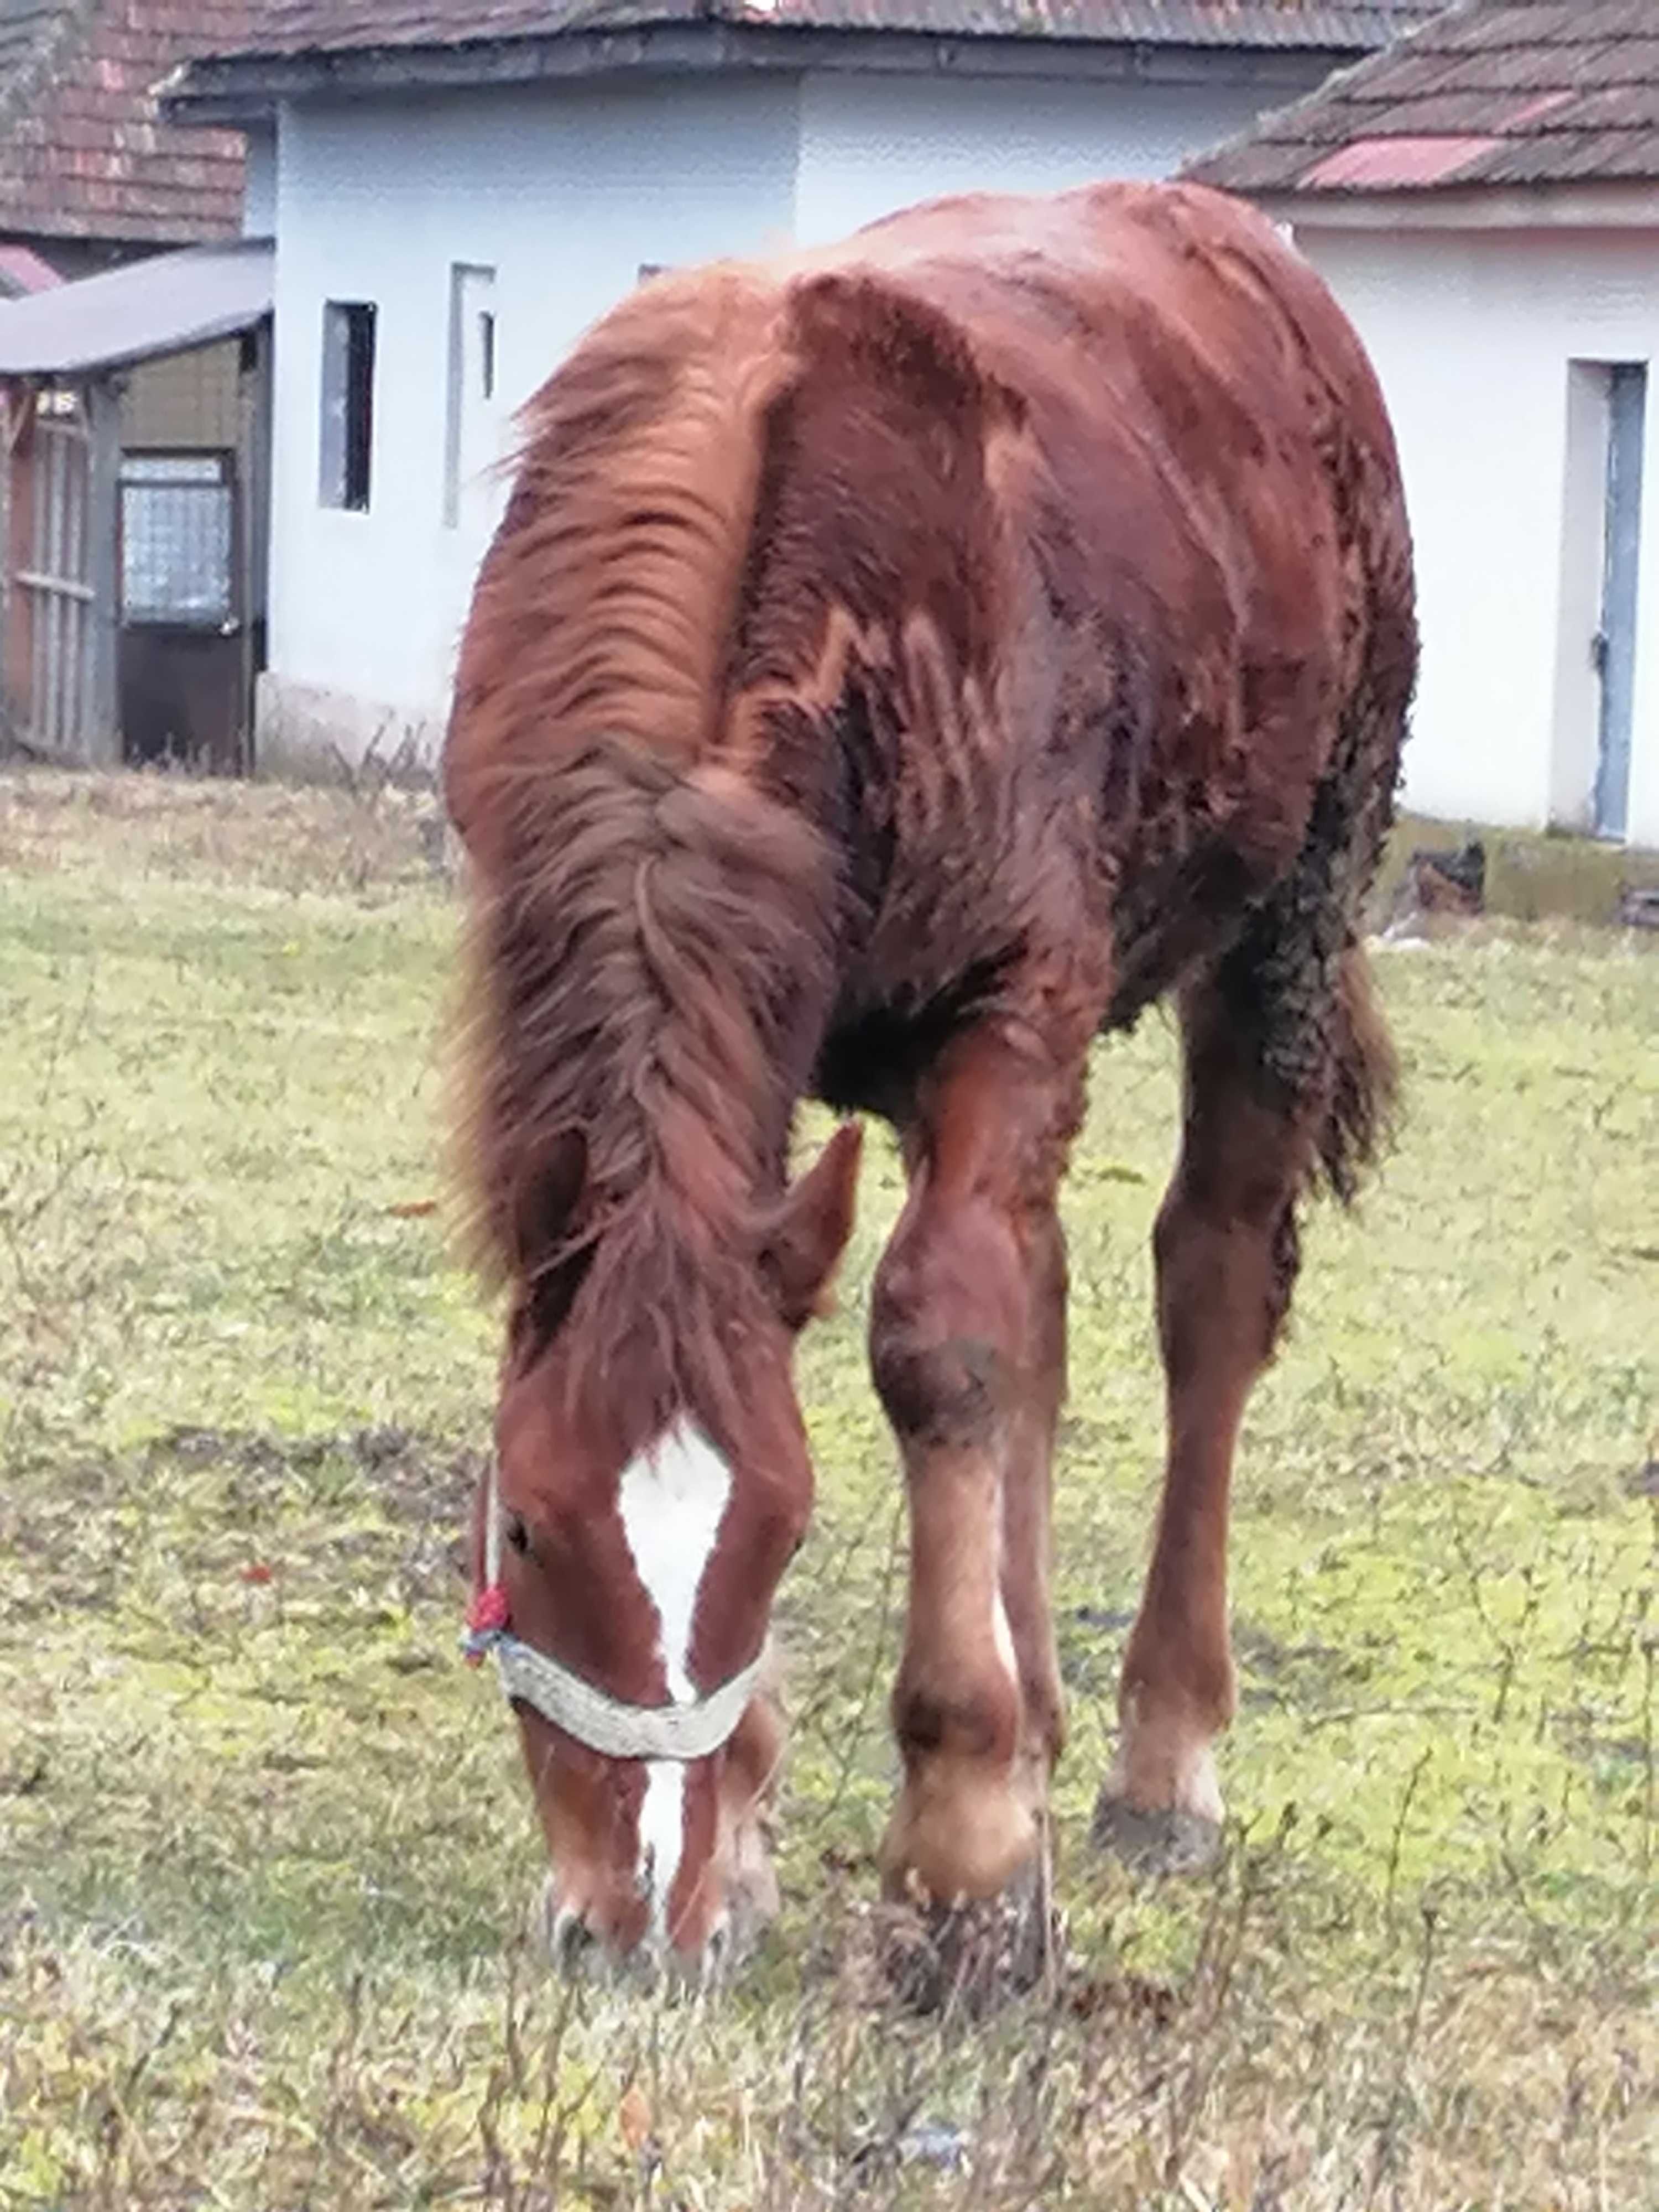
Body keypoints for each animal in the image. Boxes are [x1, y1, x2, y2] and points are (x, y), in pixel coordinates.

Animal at [442, 181, 1416, 1982]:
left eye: (782, 1532)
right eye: (525, 1527)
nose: (630, 1920)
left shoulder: (1012, 1001)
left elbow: (939, 1346)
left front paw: (965, 1849)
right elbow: (958, 1340)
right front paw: (761, 1837)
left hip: (1293, 913)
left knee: (1204, 1284)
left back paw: (1153, 1760)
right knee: (1033, 1302)